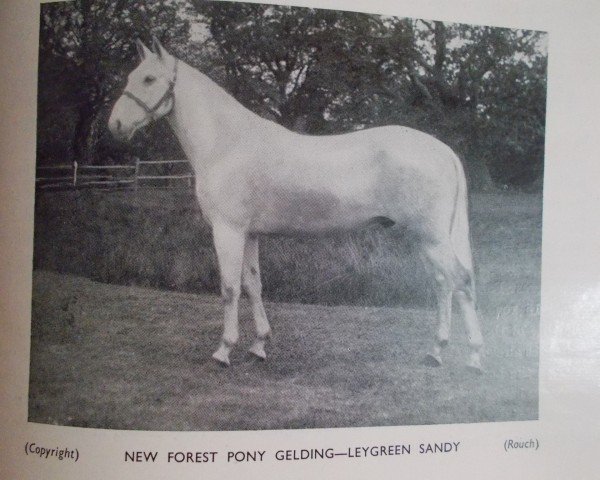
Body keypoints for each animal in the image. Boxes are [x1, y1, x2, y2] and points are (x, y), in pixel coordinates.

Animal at [108, 39, 482, 374]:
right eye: (131, 76)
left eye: (149, 79)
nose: (115, 126)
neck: (228, 143)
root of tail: (443, 150)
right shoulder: (250, 233)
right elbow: (253, 285)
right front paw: (259, 345)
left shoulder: (228, 230)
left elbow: (229, 288)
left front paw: (224, 351)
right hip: (428, 238)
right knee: (446, 282)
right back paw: (441, 353)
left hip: (431, 237)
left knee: (459, 279)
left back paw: (466, 357)